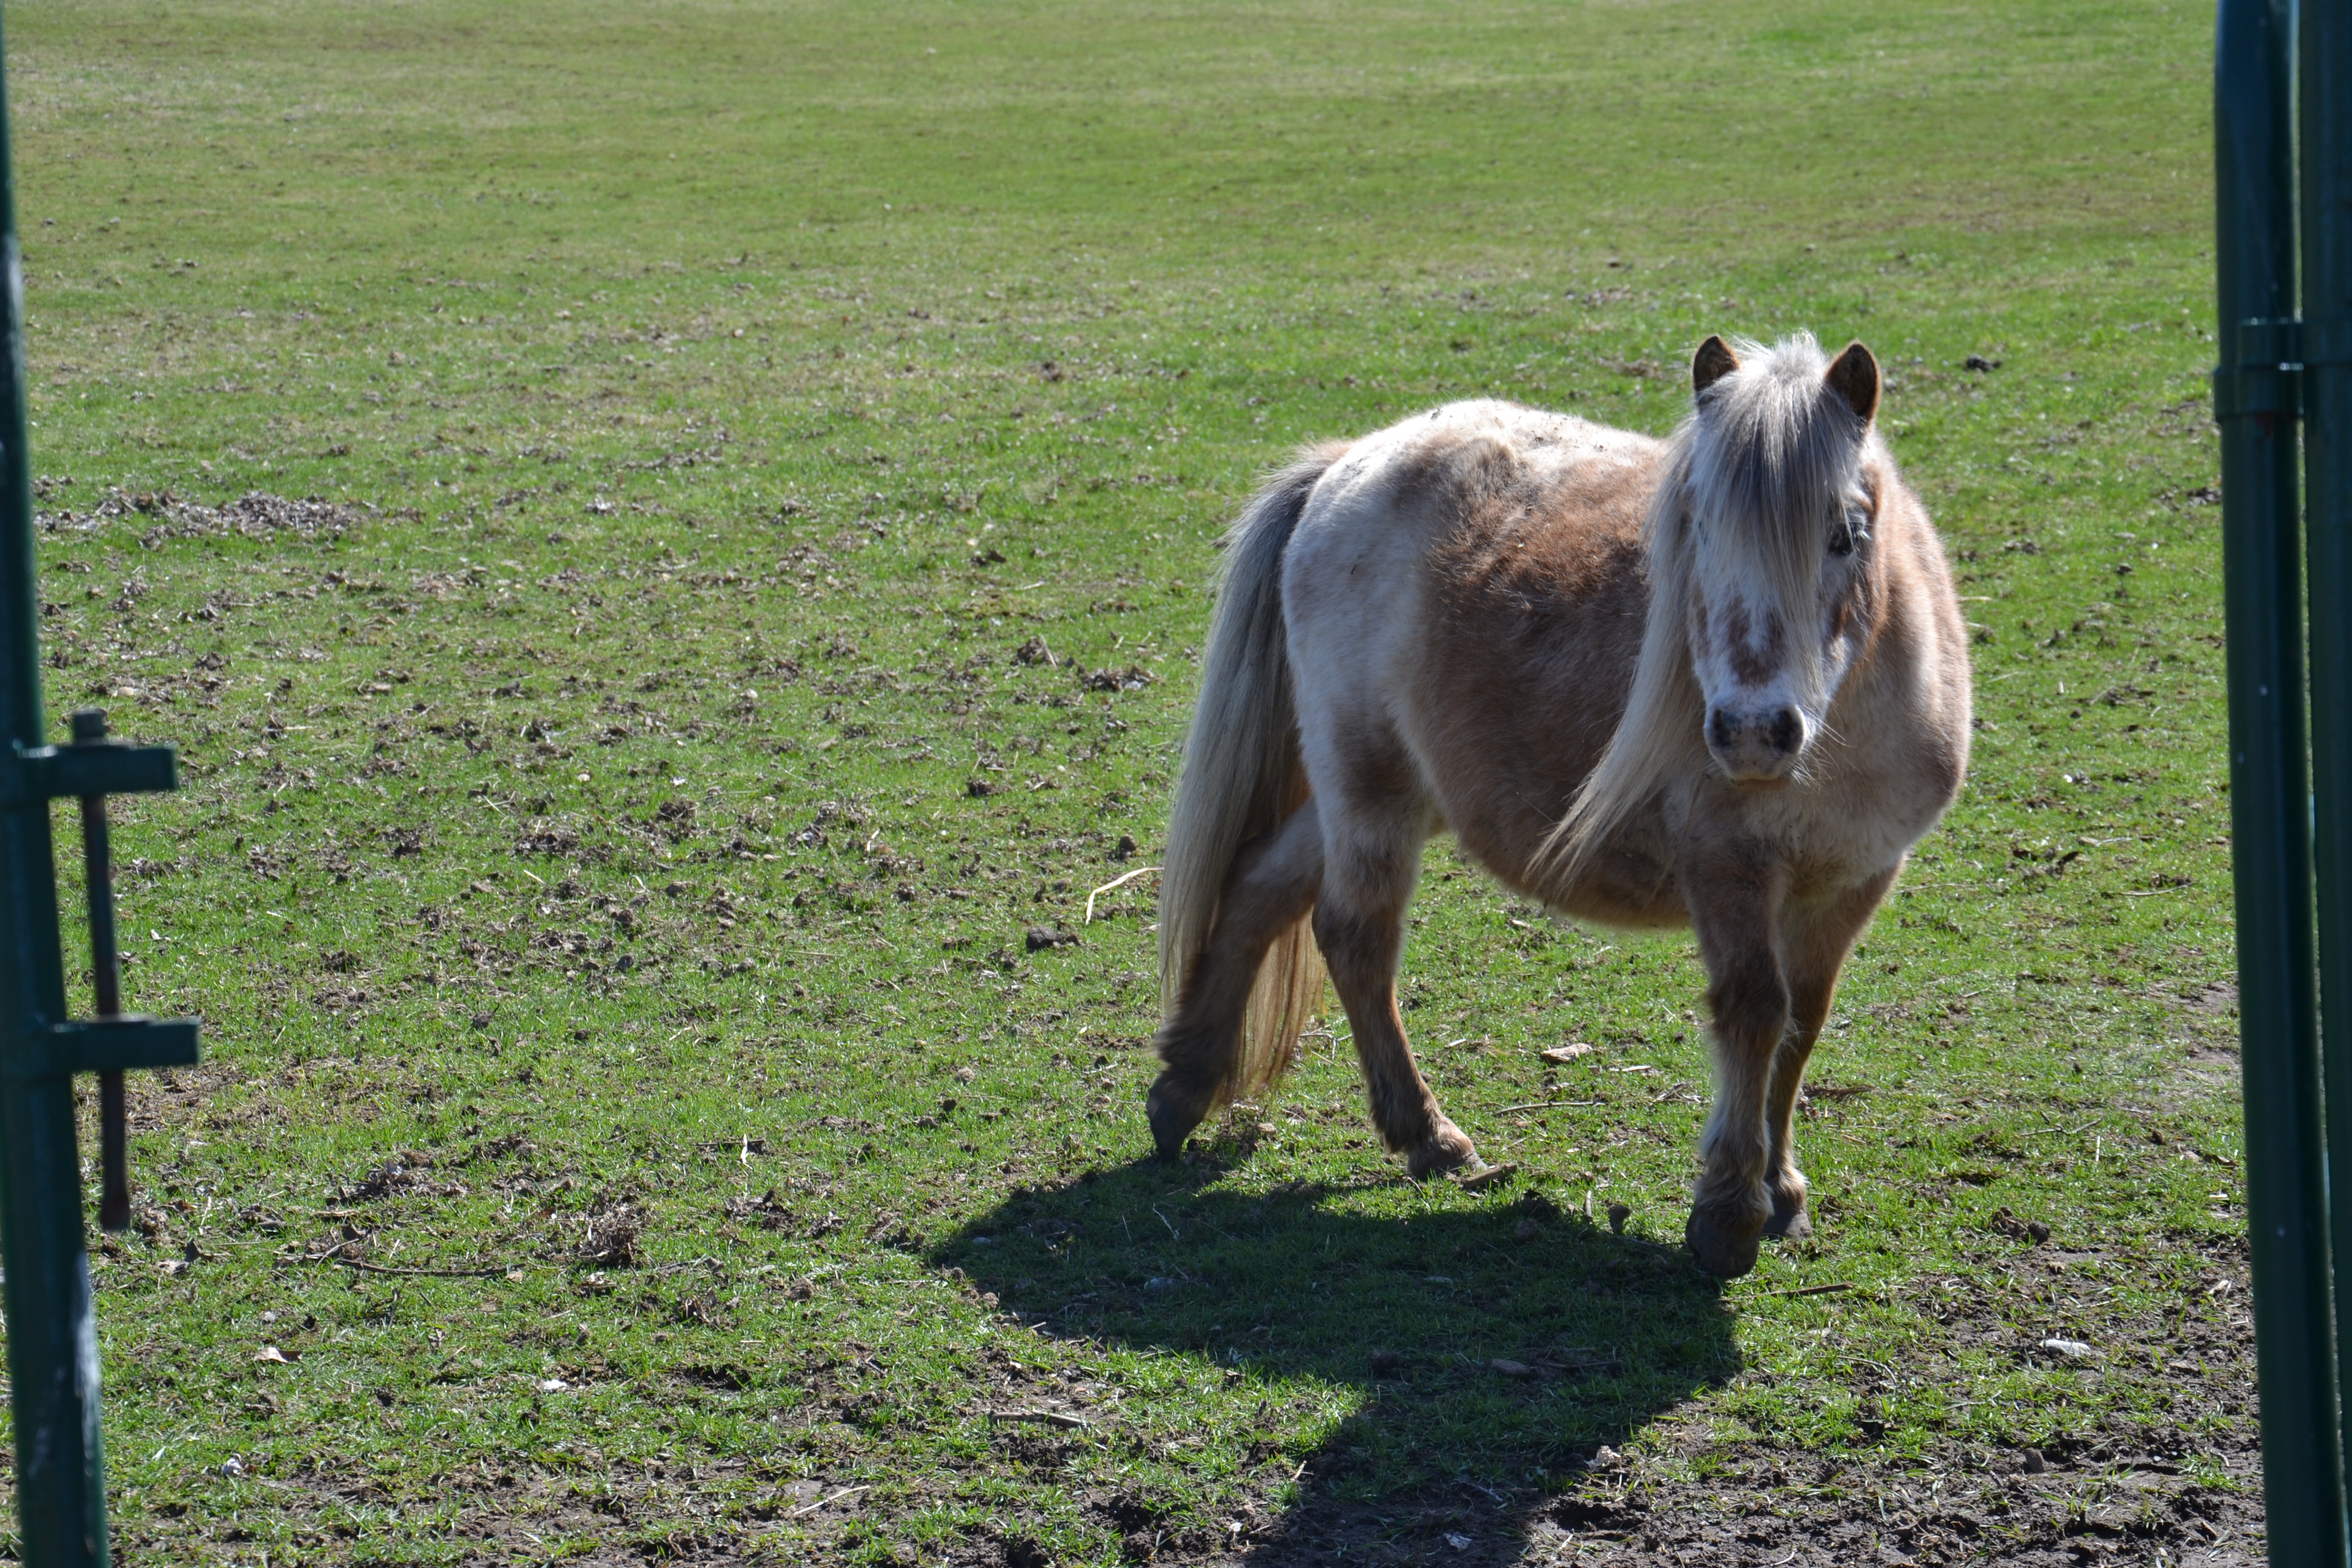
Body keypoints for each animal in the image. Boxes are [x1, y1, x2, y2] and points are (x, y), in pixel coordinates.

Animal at [1147, 331, 1975, 1279]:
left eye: (1845, 534)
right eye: (1697, 531)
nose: (1751, 732)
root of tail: (1348, 464)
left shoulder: (1855, 877)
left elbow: (1802, 1024)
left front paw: (1782, 1190)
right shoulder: (1726, 864)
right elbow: (1754, 1011)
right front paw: (1728, 1210)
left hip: (1381, 793)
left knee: (1259, 888)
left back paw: (1183, 1088)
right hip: (1370, 790)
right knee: (1354, 938)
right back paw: (1429, 1137)